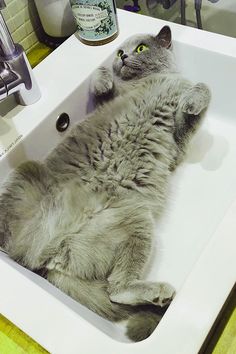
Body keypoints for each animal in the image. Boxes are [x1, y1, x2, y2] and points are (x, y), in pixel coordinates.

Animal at [0, 26, 210, 342]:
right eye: (120, 51)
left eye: (140, 49)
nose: (121, 57)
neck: (153, 80)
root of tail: (50, 257)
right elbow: (104, 90)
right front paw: (102, 80)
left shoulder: (178, 145)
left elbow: (202, 90)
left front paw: (193, 101)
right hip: (27, 175)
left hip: (134, 221)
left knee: (116, 290)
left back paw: (159, 294)